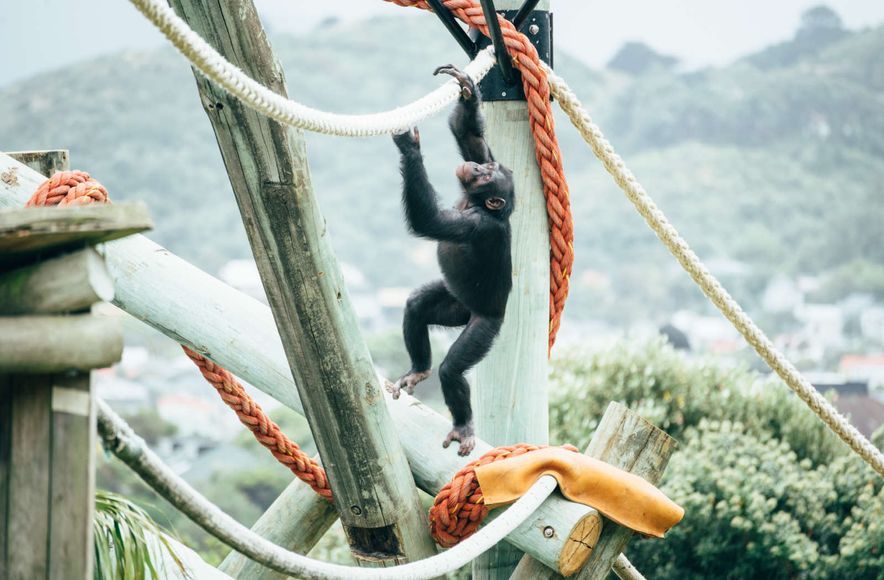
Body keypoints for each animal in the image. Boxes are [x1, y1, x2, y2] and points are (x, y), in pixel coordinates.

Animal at [388, 64, 516, 458]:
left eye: (487, 176)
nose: (474, 167)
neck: (473, 202)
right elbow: (470, 135)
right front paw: (467, 91)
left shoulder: (476, 225)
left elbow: (429, 221)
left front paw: (409, 146)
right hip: (453, 304)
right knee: (416, 305)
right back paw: (418, 368)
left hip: (484, 326)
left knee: (452, 371)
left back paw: (463, 426)